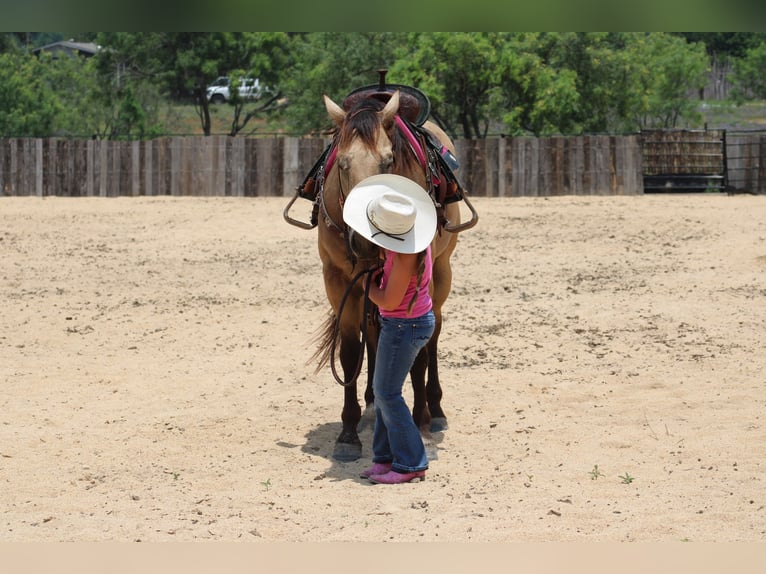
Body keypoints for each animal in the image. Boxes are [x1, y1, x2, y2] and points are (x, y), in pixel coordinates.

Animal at [286, 87, 477, 461]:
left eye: (388, 161)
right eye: (342, 163)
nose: (364, 237)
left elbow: (419, 350)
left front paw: (419, 422)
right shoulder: (338, 280)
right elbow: (350, 352)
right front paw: (348, 433)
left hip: (442, 273)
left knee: (433, 335)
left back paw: (435, 411)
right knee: (376, 334)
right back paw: (374, 403)